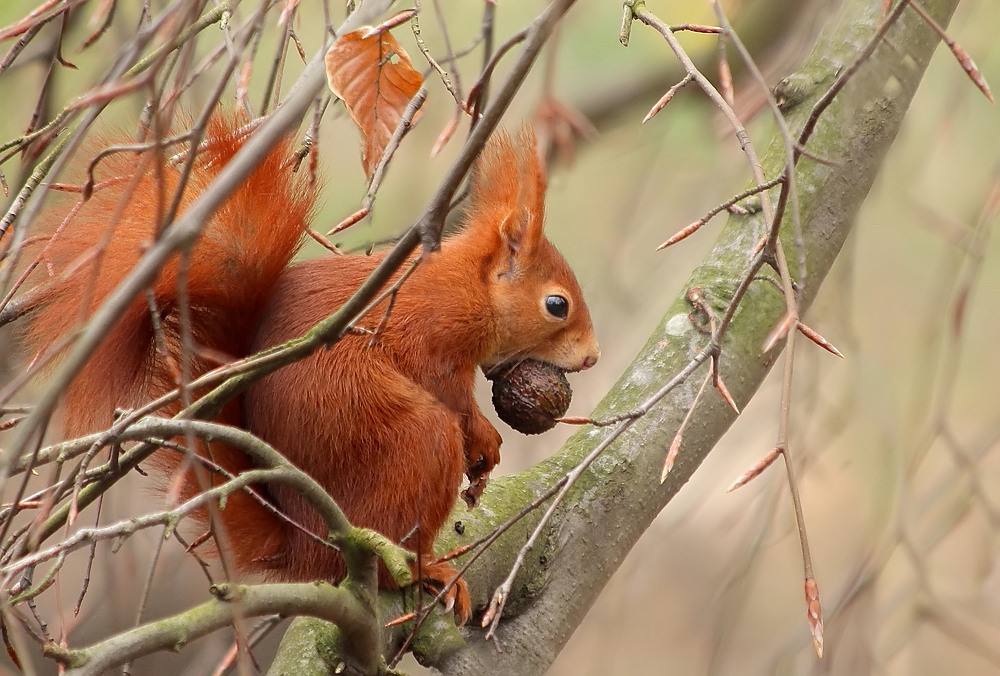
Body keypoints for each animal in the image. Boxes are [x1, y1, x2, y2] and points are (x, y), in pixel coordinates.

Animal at [19, 116, 596, 624]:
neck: (467, 284)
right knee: (405, 513)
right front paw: (483, 436)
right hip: (406, 443)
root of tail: (304, 548)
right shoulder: (430, 336)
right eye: (557, 305)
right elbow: (449, 394)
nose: (591, 357)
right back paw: (425, 570)